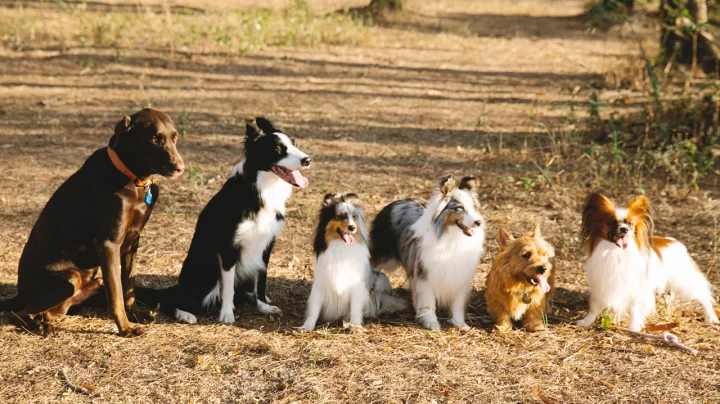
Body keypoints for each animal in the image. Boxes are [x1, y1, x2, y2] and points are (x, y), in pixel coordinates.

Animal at [0, 108, 184, 336]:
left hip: (92, 281)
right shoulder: (108, 243)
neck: (135, 180)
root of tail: (19, 293)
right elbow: (116, 294)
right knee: (19, 314)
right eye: (154, 139)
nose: (180, 167)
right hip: (69, 278)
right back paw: (41, 326)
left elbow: (128, 284)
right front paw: (125, 328)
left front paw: (135, 314)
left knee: (48, 312)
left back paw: (46, 321)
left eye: (175, 138)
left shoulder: (133, 241)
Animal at [157, 117, 310, 324]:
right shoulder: (228, 247)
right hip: (207, 273)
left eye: (295, 143)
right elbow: (228, 286)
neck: (260, 189)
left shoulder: (266, 244)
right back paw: (185, 314)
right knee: (171, 300)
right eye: (278, 148)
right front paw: (227, 314)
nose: (307, 160)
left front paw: (263, 305)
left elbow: (262, 278)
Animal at [299, 193, 406, 331]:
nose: (352, 227)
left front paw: (355, 326)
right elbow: (314, 308)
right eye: (339, 216)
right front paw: (307, 326)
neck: (341, 246)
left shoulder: (357, 285)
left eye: (354, 216)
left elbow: (355, 308)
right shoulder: (320, 284)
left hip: (380, 280)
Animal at [370, 175, 485, 330]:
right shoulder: (425, 276)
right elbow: (429, 303)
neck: (451, 237)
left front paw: (460, 323)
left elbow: (458, 304)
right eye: (459, 207)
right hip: (384, 258)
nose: (478, 222)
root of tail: (393, 203)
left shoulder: (459, 276)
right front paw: (431, 323)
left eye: (473, 207)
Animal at [574, 193, 719, 331]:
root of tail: (673, 241)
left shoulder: (636, 288)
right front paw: (587, 321)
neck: (616, 252)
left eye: (630, 224)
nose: (624, 229)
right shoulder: (600, 284)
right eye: (612, 222)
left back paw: (710, 317)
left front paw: (634, 327)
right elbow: (595, 305)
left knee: (703, 296)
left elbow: (634, 308)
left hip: (685, 282)